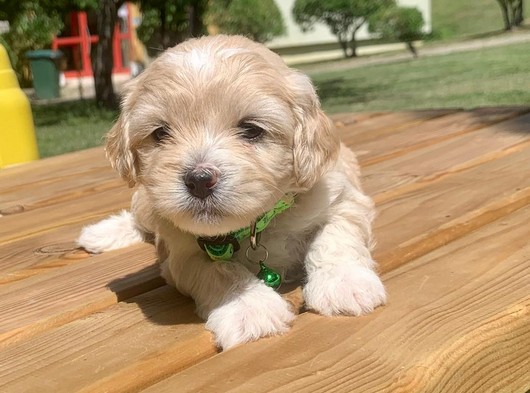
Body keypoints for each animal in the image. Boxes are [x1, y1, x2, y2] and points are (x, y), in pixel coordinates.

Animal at [78, 34, 384, 350]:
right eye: (160, 133)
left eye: (251, 129)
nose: (199, 180)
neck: (257, 225)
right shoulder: (181, 252)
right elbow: (219, 271)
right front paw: (249, 308)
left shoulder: (343, 198)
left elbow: (334, 238)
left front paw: (345, 283)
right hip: (147, 204)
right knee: (138, 220)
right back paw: (100, 233)